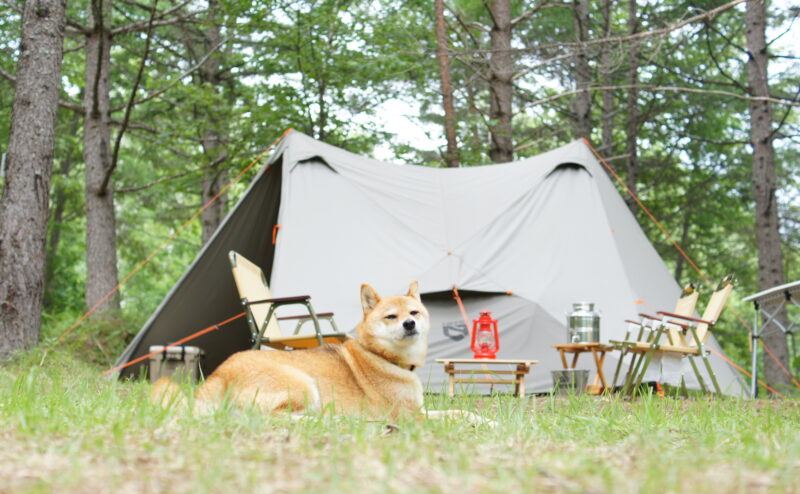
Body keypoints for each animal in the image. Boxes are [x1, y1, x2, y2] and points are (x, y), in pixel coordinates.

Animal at [155, 282, 494, 424]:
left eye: (414, 312)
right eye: (391, 317)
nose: (410, 323)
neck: (384, 357)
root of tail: (218, 376)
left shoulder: (420, 410)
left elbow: (462, 412)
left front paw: (487, 421)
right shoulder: (410, 417)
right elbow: (451, 418)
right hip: (303, 383)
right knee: (274, 418)